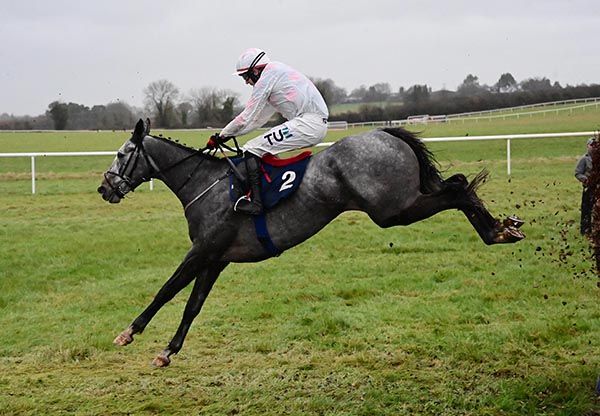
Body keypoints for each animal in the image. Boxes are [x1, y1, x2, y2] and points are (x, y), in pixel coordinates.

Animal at [96, 118, 524, 366]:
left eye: (122, 153)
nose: (104, 188)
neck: (204, 184)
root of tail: (386, 132)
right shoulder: (216, 258)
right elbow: (192, 305)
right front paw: (168, 351)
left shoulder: (202, 250)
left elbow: (165, 291)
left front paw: (129, 333)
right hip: (400, 204)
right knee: (458, 185)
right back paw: (503, 229)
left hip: (393, 209)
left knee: (458, 188)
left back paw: (497, 231)